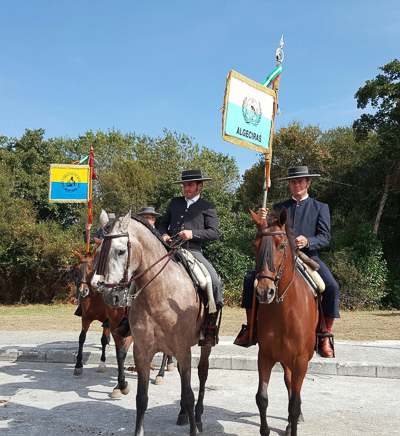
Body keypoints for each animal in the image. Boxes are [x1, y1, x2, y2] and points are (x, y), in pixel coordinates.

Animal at [72, 242, 134, 398]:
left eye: (92, 268)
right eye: (78, 268)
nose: (83, 291)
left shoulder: (109, 323)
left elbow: (105, 340)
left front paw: (102, 364)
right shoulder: (87, 318)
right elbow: (82, 338)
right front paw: (78, 366)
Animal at [95, 211, 212, 436]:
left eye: (121, 251)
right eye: (101, 252)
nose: (111, 296)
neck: (159, 293)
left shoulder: (183, 350)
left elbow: (189, 394)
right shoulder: (142, 351)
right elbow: (141, 398)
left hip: (205, 345)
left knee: (202, 375)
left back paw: (199, 416)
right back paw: (183, 414)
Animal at [250, 208, 318, 436]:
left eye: (281, 245)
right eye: (255, 245)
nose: (264, 291)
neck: (285, 310)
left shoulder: (301, 360)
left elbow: (294, 405)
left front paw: (293, 423)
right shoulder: (265, 356)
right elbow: (261, 398)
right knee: (288, 382)